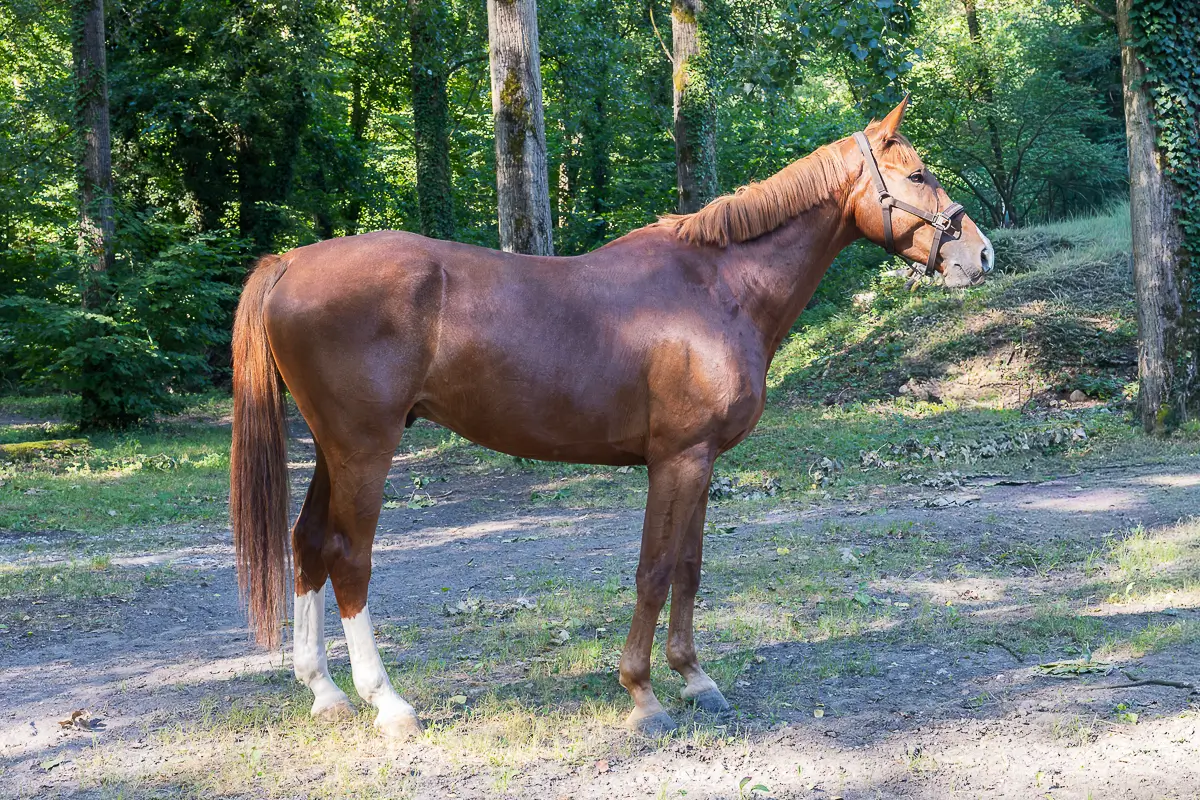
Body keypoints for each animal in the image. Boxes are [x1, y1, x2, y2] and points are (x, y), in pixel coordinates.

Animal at [229, 96, 993, 738]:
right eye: (918, 173)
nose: (980, 253)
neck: (717, 289)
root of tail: (290, 262)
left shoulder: (702, 461)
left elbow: (689, 566)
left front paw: (696, 678)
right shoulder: (675, 459)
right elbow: (653, 571)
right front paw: (643, 694)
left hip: (332, 450)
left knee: (307, 545)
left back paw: (325, 692)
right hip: (364, 450)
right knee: (347, 557)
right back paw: (386, 702)